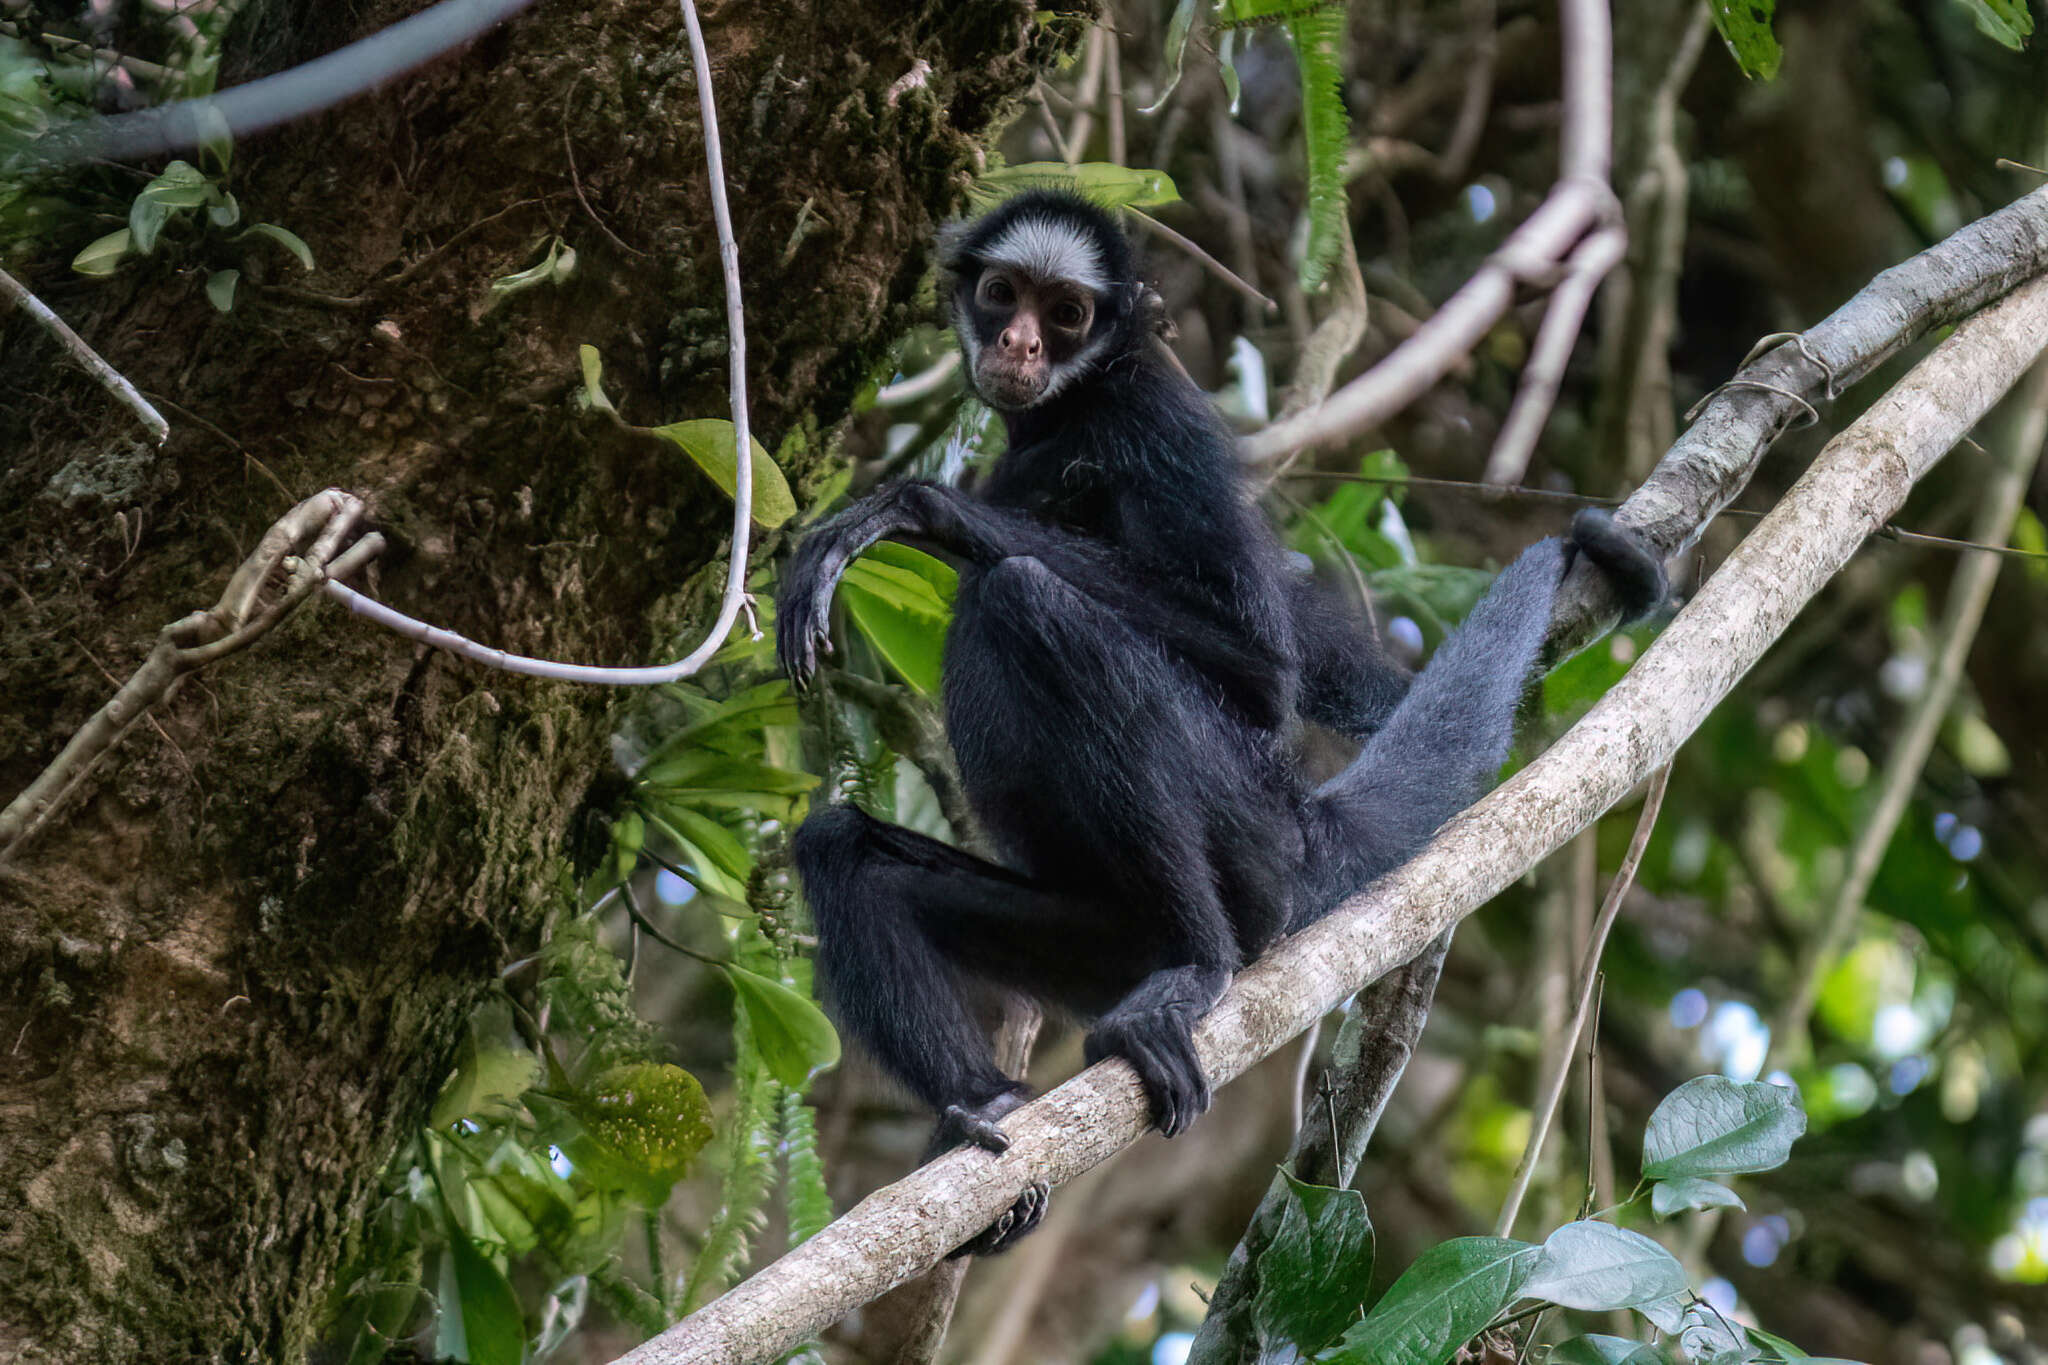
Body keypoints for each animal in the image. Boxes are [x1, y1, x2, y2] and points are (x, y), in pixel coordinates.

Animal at [770, 187, 1662, 1252]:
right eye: (1001, 294)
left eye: (1066, 313)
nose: (1021, 343)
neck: (1078, 403)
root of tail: (1306, 822)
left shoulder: (1157, 418)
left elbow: (1262, 668)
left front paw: (912, 507)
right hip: (1094, 934)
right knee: (843, 848)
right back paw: (983, 1110)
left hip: (1243, 827)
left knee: (1025, 599)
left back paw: (1196, 969)